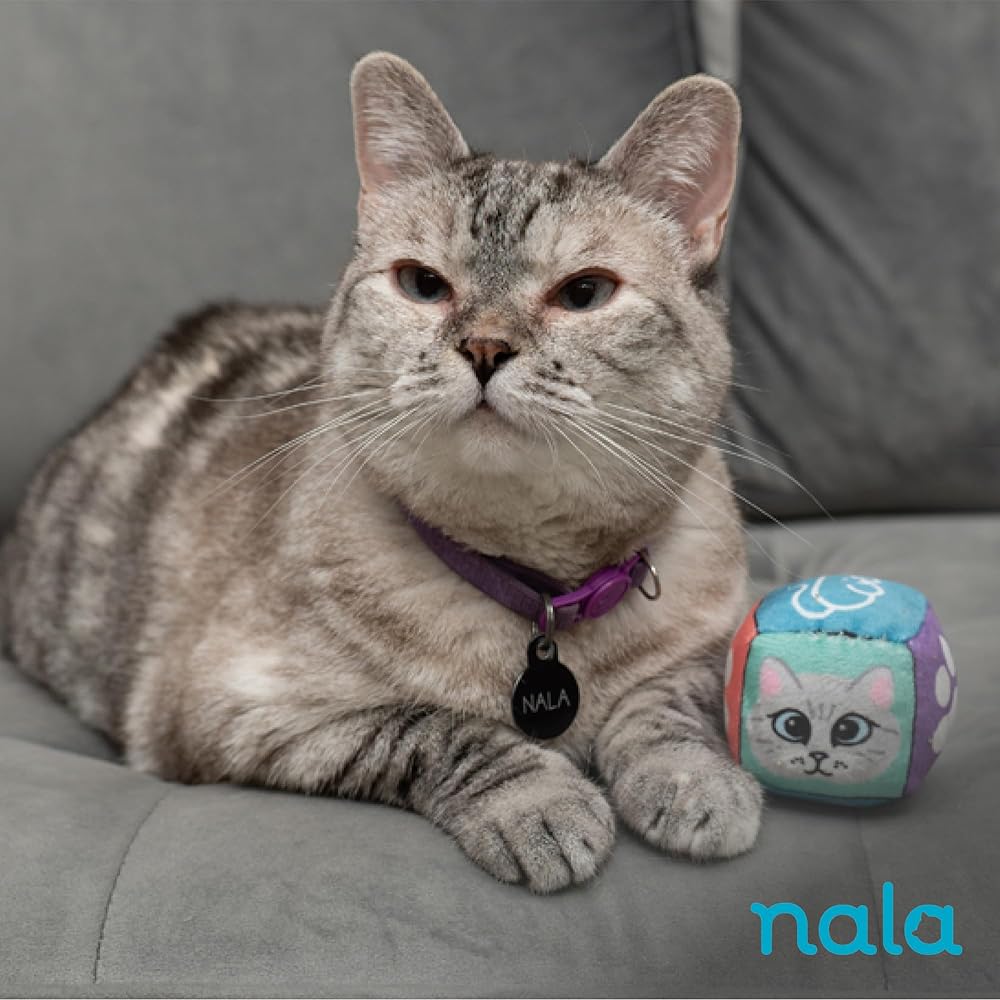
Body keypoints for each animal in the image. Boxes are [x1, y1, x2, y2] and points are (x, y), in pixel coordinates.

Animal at [0, 52, 762, 892]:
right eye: (423, 285)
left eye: (584, 293)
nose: (485, 348)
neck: (542, 590)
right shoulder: (239, 712)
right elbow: (437, 728)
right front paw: (540, 803)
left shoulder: (715, 636)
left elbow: (667, 704)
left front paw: (695, 783)